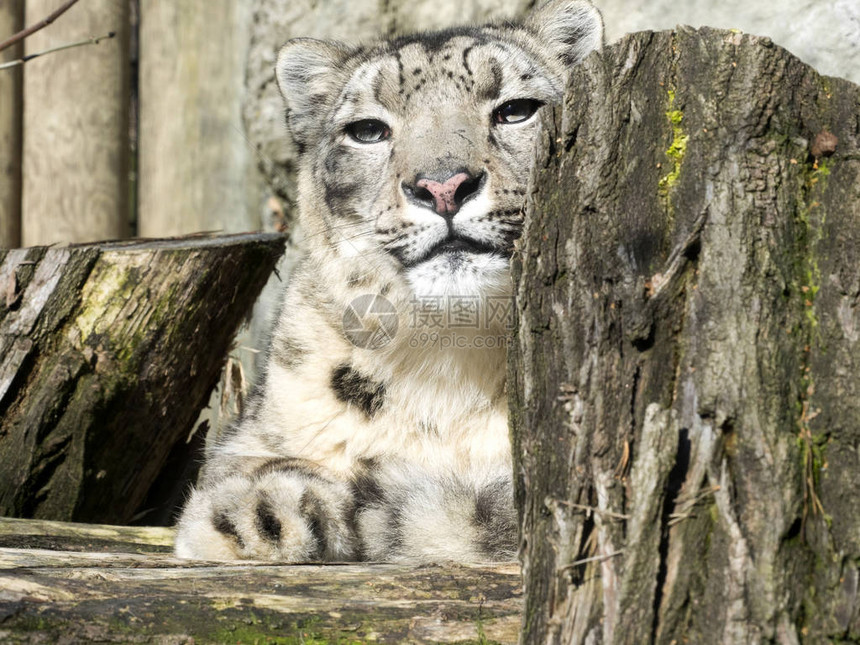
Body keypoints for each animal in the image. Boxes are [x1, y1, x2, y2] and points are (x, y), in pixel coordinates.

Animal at [176, 0, 604, 560]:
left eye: (516, 109)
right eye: (367, 130)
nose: (443, 187)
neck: (449, 366)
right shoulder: (260, 433)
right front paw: (262, 512)